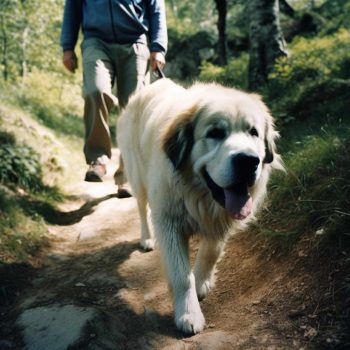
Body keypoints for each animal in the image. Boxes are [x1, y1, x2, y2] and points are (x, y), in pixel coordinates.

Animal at [115, 78, 282, 334]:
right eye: (215, 133)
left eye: (253, 132)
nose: (248, 161)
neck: (197, 193)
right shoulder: (169, 222)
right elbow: (182, 276)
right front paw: (188, 314)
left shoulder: (220, 219)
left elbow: (212, 251)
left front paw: (202, 281)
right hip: (137, 176)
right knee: (142, 208)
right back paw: (146, 238)